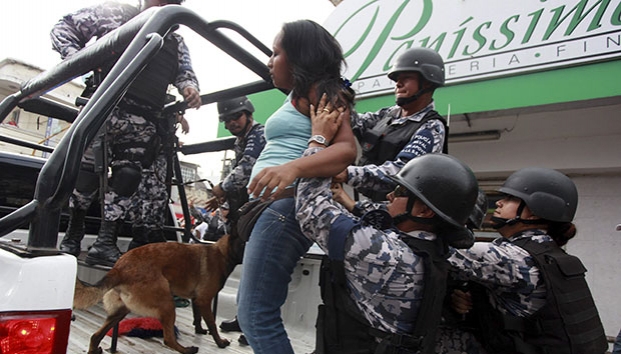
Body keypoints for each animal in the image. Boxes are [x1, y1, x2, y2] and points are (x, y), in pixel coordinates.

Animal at [73, 230, 245, 354]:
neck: (222, 252)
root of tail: (119, 269)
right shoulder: (204, 300)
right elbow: (212, 324)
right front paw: (220, 342)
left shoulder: (197, 300)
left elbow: (197, 316)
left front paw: (200, 330)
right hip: (167, 305)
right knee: (168, 339)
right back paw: (187, 350)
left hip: (119, 312)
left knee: (95, 336)